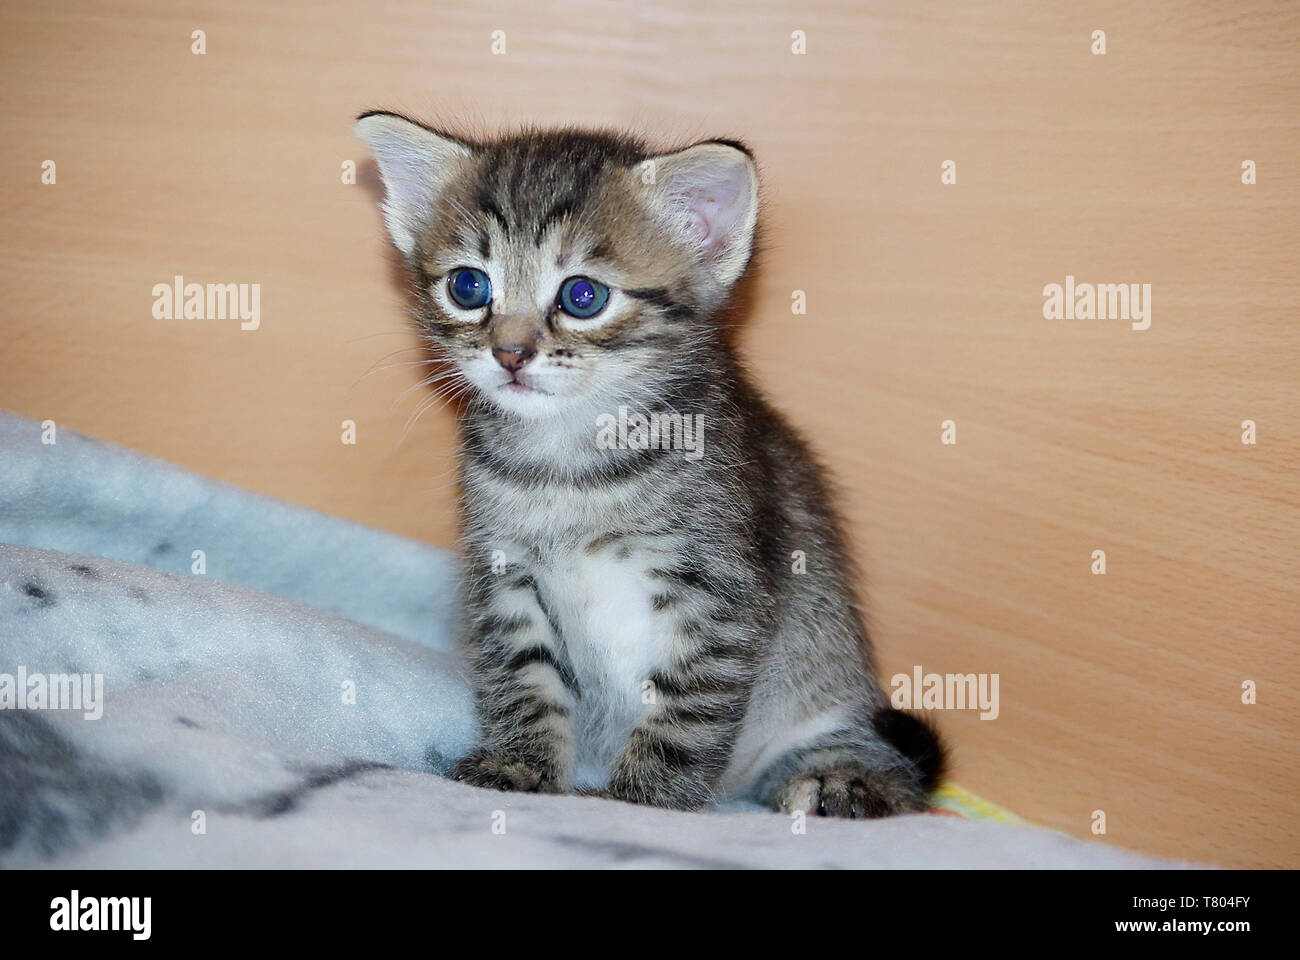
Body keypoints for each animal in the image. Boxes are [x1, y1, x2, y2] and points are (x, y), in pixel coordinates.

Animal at [356, 110, 946, 816]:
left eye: (583, 296)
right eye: (469, 286)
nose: (509, 353)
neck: (571, 463)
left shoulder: (719, 592)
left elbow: (687, 705)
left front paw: (644, 800)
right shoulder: (506, 575)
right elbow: (524, 679)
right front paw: (519, 764)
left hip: (826, 681)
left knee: (885, 767)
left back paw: (843, 783)